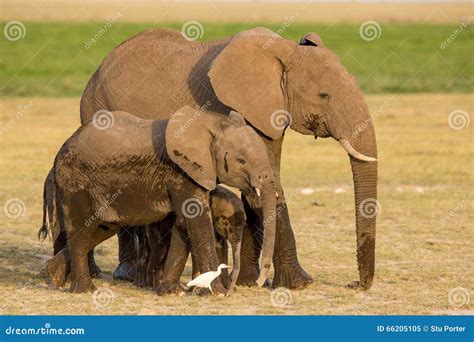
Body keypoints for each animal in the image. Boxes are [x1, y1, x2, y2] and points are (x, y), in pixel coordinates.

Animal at [41, 106, 278, 294]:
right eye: (242, 161)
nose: (259, 282)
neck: (212, 122)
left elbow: (183, 223)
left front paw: (172, 292)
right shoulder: (182, 172)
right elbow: (197, 222)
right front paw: (217, 293)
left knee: (103, 226)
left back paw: (53, 274)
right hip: (75, 179)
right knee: (81, 228)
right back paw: (85, 290)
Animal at [80, 26, 378, 288]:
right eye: (323, 95)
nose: (354, 284)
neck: (283, 51)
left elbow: (260, 186)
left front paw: (249, 281)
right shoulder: (237, 108)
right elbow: (265, 188)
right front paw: (300, 284)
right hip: (95, 108)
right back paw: (116, 275)